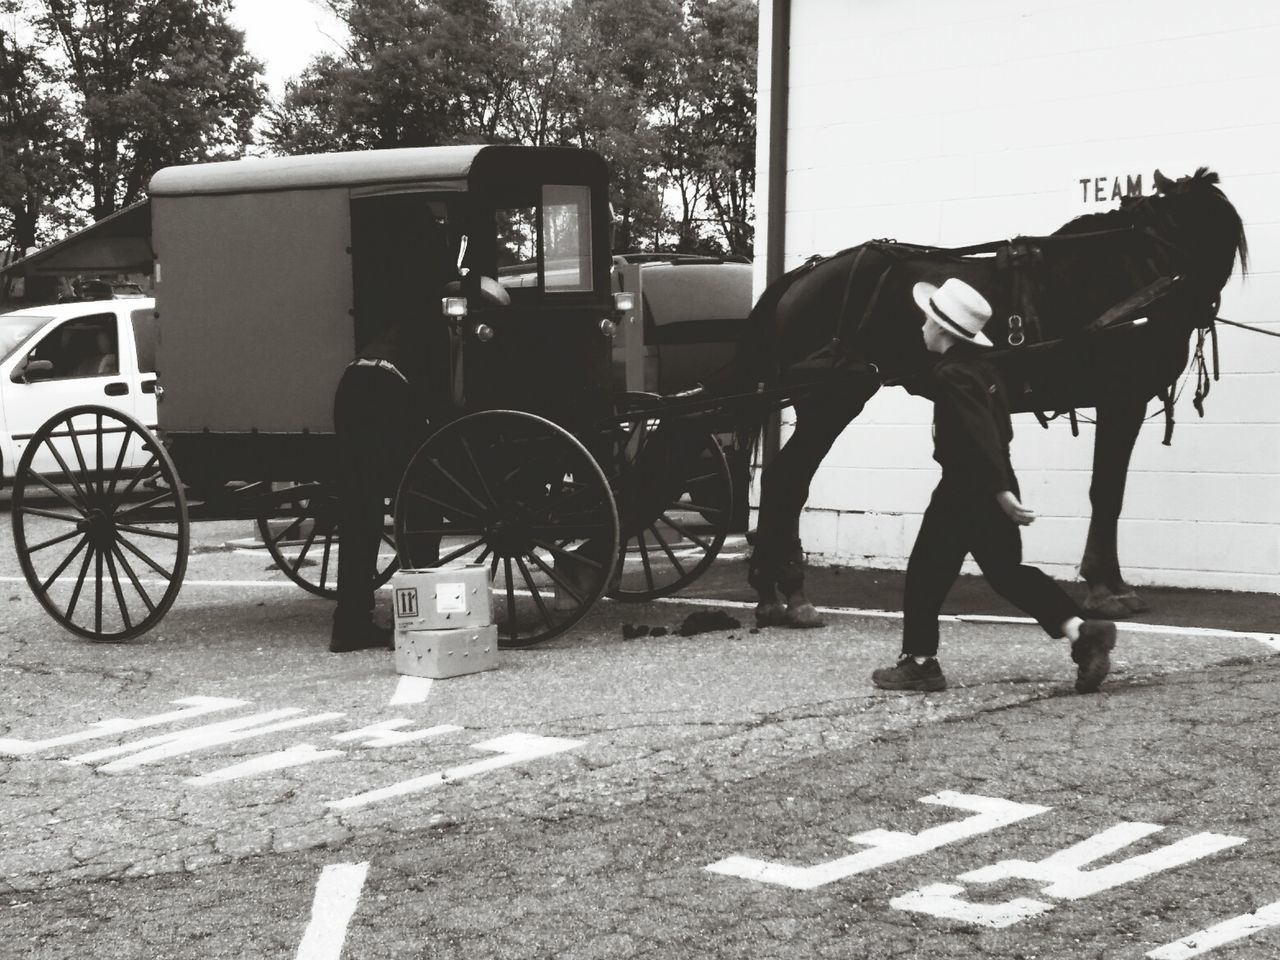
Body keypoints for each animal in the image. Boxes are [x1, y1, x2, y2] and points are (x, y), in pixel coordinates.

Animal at [742, 168, 1249, 627]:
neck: (1138, 269)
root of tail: (803, 275)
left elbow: (1108, 492)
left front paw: (1110, 583)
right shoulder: (1121, 400)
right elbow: (1106, 493)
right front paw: (1107, 589)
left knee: (787, 480)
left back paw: (774, 593)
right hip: (832, 399)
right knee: (788, 479)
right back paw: (788, 592)